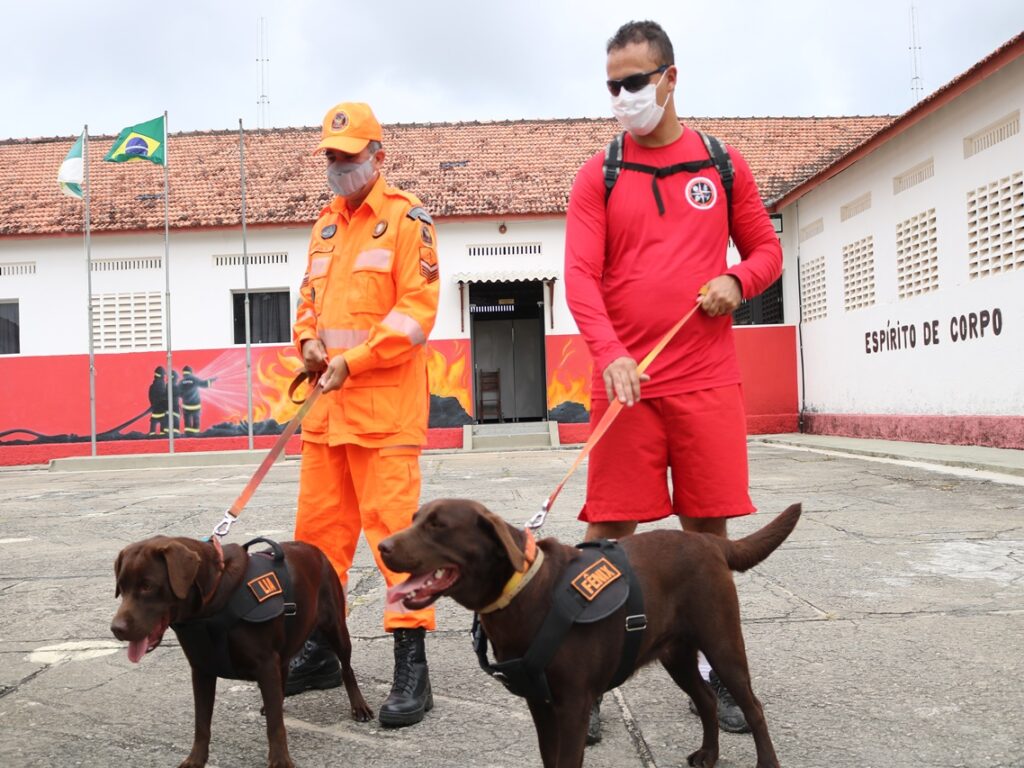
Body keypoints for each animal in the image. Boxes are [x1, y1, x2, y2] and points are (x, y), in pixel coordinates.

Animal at [110, 536, 372, 768]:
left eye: (147, 586)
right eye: (121, 587)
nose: (116, 629)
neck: (213, 599)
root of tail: (315, 550)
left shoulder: (265, 664)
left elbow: (275, 726)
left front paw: (280, 761)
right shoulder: (201, 669)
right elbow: (201, 723)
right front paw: (196, 760)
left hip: (336, 628)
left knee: (347, 669)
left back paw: (359, 707)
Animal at [376, 499, 798, 768]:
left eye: (439, 526)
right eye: (414, 519)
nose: (382, 546)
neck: (524, 592)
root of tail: (710, 541)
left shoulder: (573, 705)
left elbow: (567, 760)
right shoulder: (540, 703)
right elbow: (550, 759)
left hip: (722, 642)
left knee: (752, 706)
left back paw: (767, 761)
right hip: (676, 655)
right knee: (707, 700)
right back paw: (708, 756)